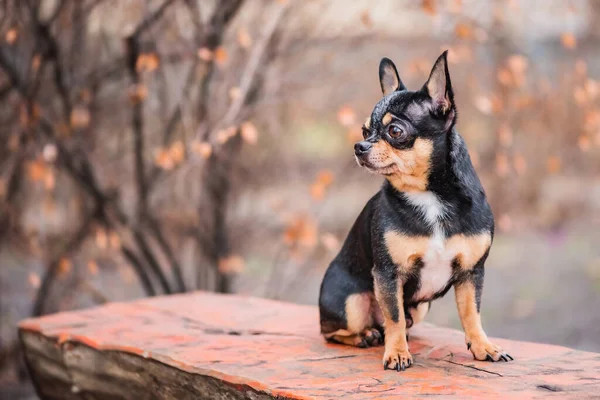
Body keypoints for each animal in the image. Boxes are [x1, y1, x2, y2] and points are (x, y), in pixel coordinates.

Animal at [318, 50, 510, 372]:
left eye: (395, 131)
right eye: (365, 130)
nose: (359, 146)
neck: (428, 197)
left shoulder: (471, 274)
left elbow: (471, 314)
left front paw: (483, 347)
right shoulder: (388, 275)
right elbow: (393, 316)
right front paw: (396, 353)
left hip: (420, 307)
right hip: (351, 302)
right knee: (336, 331)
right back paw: (365, 336)